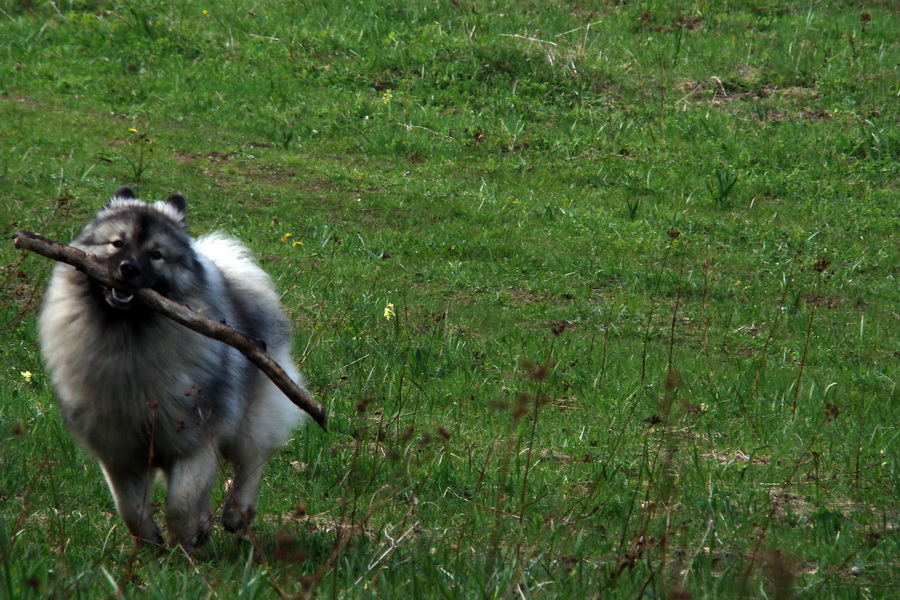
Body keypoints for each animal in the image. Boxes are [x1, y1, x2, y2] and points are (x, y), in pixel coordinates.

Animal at [39, 186, 306, 548]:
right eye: (117, 243)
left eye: (156, 255)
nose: (128, 269)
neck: (128, 340)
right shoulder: (118, 449)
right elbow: (129, 507)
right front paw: (154, 539)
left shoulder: (196, 438)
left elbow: (181, 501)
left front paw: (186, 537)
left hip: (255, 416)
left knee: (251, 462)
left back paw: (236, 514)